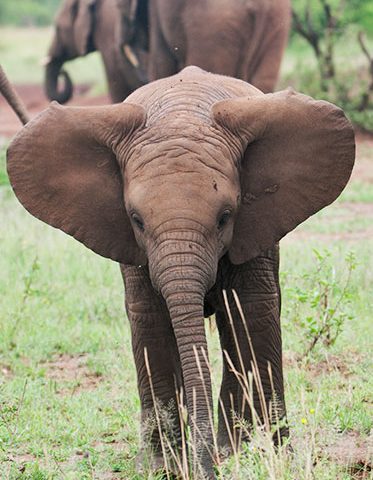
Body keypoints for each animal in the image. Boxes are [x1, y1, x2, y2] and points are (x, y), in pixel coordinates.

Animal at [6, 65, 354, 478]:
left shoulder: (254, 226)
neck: (182, 112)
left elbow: (251, 310)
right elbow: (151, 319)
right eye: (136, 220)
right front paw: (163, 467)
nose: (207, 469)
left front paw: (264, 457)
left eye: (225, 218)